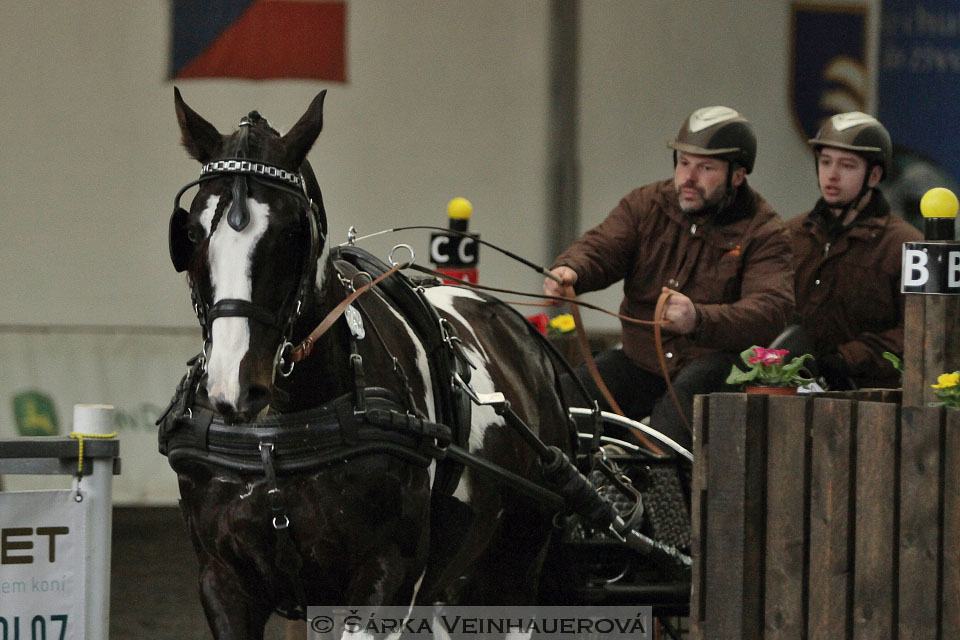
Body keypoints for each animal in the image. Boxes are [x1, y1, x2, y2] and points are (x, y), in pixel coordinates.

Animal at [161, 89, 572, 636]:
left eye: (292, 232)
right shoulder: (223, 579)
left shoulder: (387, 574)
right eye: (189, 231)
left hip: (518, 565)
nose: (234, 388)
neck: (281, 433)